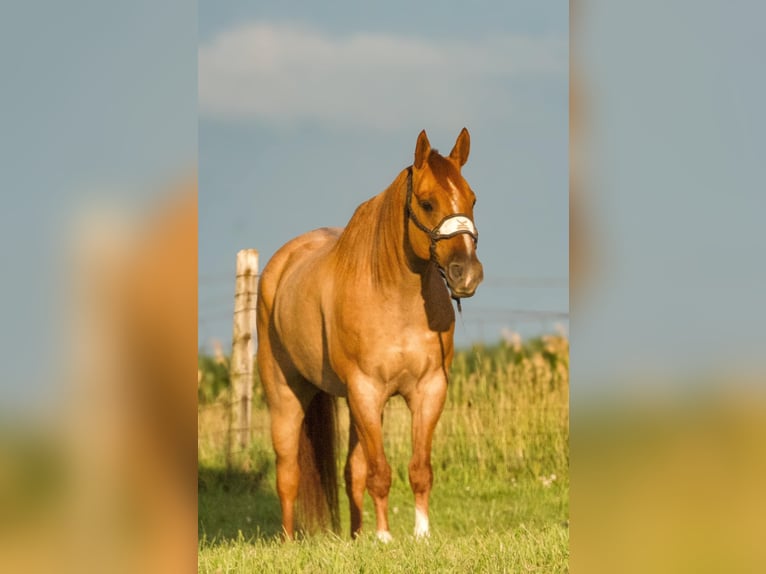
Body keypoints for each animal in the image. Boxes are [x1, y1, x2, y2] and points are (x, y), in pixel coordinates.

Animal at [258, 128, 486, 544]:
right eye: (427, 203)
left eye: (472, 198)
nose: (467, 274)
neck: (395, 300)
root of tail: (279, 266)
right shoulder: (366, 390)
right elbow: (380, 473)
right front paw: (384, 538)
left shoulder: (428, 390)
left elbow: (417, 469)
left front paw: (420, 534)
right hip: (286, 394)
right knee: (288, 472)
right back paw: (288, 541)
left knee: (352, 471)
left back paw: (355, 536)